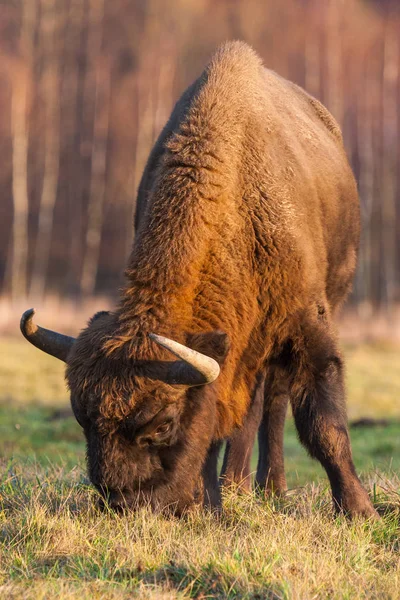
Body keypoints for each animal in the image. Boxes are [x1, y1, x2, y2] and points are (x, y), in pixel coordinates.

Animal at [20, 42, 378, 516]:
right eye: (83, 419)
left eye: (161, 423)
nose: (126, 503)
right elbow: (216, 427)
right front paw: (209, 505)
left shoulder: (308, 329)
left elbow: (324, 426)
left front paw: (358, 511)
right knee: (250, 407)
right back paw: (236, 486)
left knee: (274, 403)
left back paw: (269, 488)